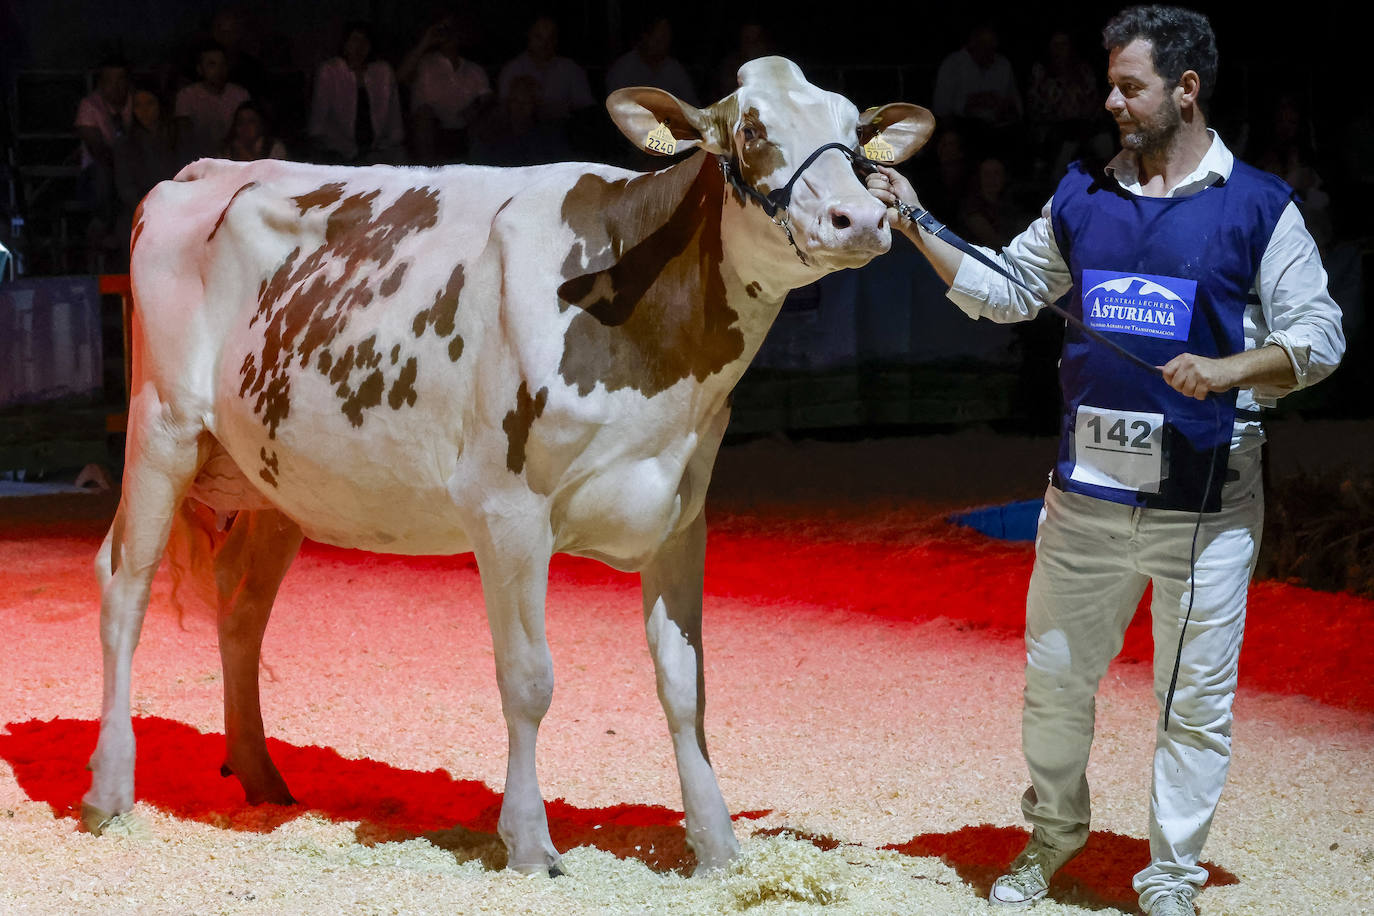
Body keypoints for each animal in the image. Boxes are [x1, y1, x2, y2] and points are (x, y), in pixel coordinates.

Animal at [80, 57, 928, 873]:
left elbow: (685, 686)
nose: (860, 219)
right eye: (751, 130)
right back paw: (110, 791)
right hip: (162, 429)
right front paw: (528, 843)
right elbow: (529, 680)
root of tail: (200, 171)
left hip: (275, 476)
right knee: (124, 584)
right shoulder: (507, 510)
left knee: (242, 605)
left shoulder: (680, 514)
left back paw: (260, 776)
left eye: (857, 138)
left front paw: (716, 846)